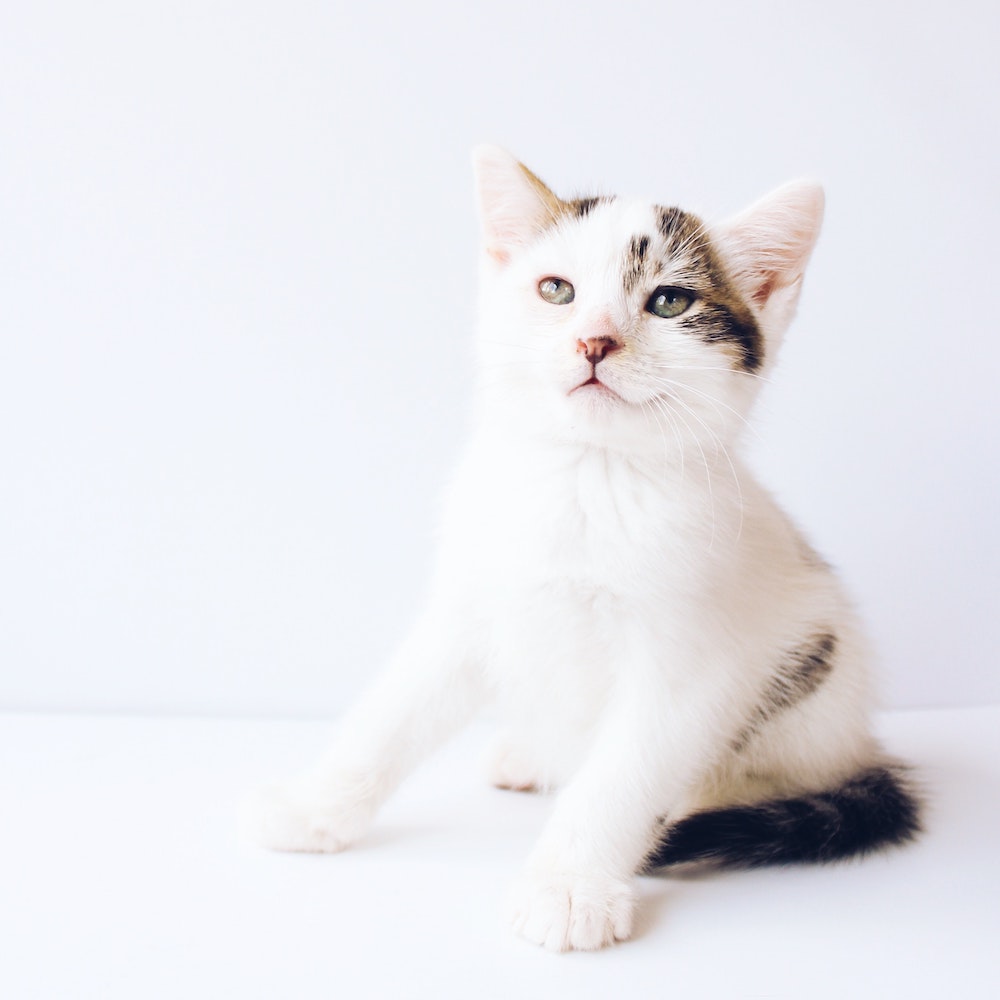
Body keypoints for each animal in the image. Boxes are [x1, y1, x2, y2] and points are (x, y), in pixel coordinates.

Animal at [244, 148, 920, 952]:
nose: (594, 340)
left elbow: (621, 777)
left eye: (670, 302)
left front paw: (569, 885)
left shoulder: (687, 663)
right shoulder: (472, 602)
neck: (586, 478)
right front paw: (316, 806)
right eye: (556, 290)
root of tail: (860, 745)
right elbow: (392, 713)